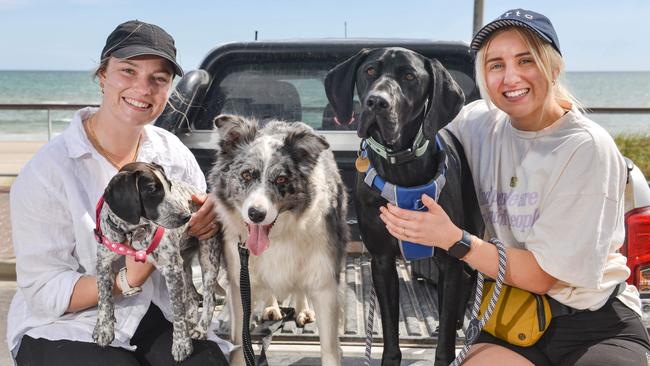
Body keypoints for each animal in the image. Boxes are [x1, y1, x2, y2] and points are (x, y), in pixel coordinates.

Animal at [91, 162, 223, 362]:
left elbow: (177, 310)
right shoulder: (103, 262)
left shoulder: (171, 269)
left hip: (208, 258)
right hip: (184, 265)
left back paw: (200, 329)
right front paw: (104, 328)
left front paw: (181, 344)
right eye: (152, 190)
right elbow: (104, 299)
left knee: (209, 298)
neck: (131, 232)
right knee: (193, 296)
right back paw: (191, 322)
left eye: (170, 186)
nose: (187, 217)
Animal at [324, 47, 480, 364]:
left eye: (409, 77)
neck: (402, 166)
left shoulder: (450, 255)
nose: (376, 102)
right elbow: (390, 328)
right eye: (370, 71)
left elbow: (445, 342)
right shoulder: (382, 261)